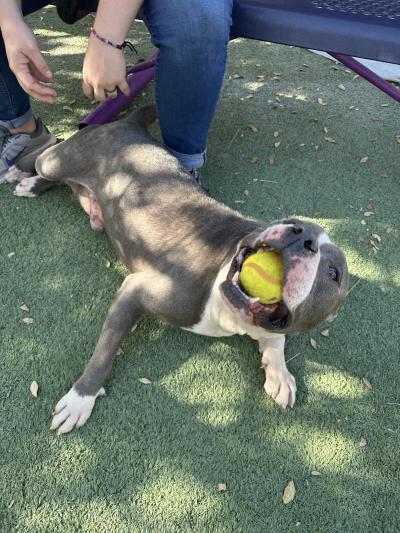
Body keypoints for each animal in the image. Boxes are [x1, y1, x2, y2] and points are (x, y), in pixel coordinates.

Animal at [12, 106, 348, 434]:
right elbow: (104, 353)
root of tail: (130, 123)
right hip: (59, 160)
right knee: (48, 150)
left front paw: (280, 374)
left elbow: (277, 339)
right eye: (291, 221)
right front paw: (81, 398)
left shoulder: (267, 325)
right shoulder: (136, 291)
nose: (300, 236)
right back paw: (22, 172)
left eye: (334, 273)